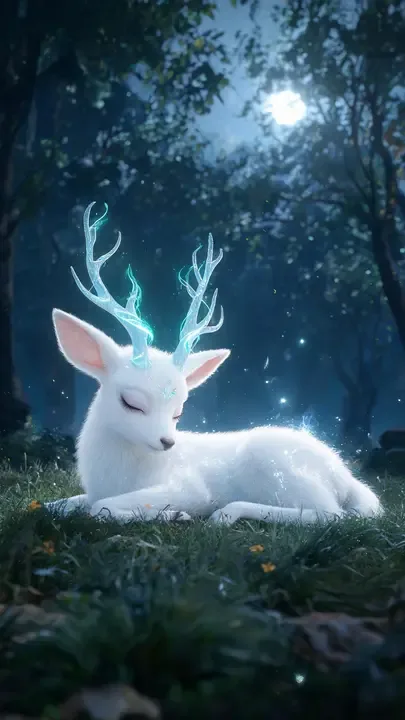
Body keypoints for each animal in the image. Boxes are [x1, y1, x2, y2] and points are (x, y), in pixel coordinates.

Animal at [48, 202, 382, 525]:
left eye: (179, 410)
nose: (167, 442)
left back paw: (227, 513)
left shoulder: (190, 488)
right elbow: (59, 505)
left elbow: (100, 507)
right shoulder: (91, 493)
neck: (117, 475)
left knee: (329, 515)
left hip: (287, 473)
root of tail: (346, 479)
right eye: (130, 402)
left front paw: (175, 515)